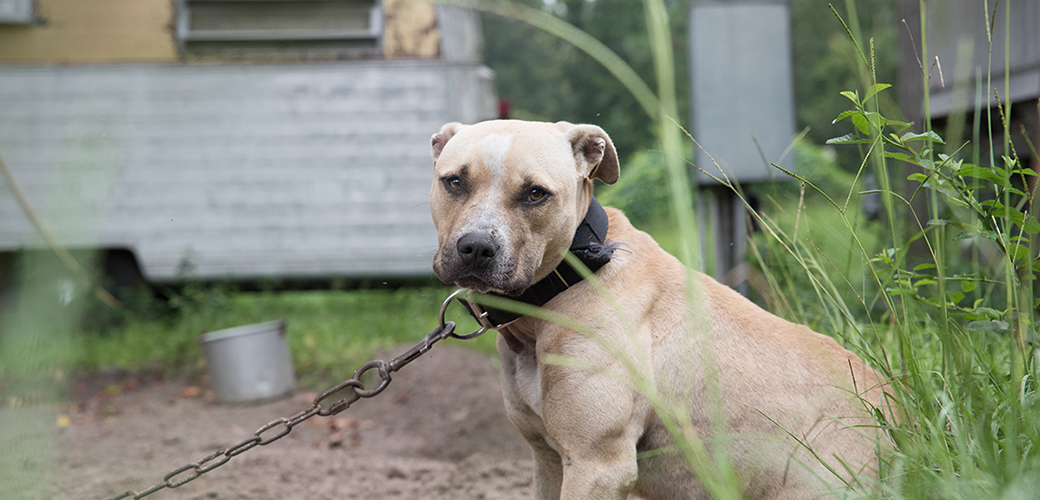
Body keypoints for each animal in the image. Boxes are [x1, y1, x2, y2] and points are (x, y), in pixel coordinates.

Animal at [426, 120, 890, 498]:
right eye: (454, 182)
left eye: (535, 193)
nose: (475, 247)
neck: (578, 269)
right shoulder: (549, 460)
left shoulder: (597, 465)